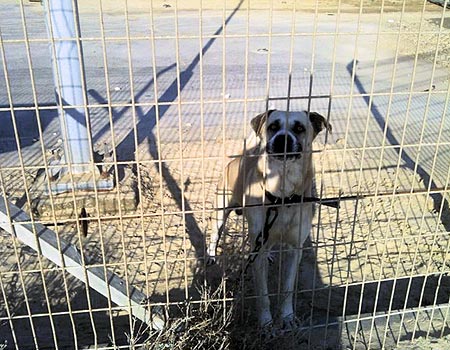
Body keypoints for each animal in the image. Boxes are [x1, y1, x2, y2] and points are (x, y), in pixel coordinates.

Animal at [207, 109, 330, 330]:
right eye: (273, 126)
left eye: (299, 128)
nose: (282, 138)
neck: (282, 195)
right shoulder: (258, 253)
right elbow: (263, 295)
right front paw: (266, 323)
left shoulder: (295, 249)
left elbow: (288, 288)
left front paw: (288, 317)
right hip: (220, 214)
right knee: (214, 236)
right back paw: (211, 256)